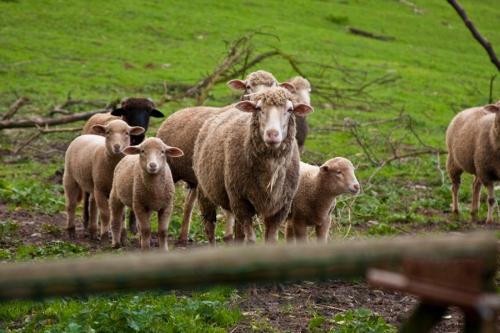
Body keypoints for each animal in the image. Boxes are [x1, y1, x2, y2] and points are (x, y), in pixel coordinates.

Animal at [80, 96, 162, 233]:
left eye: (149, 111)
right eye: (127, 110)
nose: (140, 129)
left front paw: (133, 227)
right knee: (87, 194)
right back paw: (86, 221)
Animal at [191, 87, 312, 244]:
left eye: (290, 109)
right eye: (258, 108)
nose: (272, 134)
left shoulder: (281, 207)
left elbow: (270, 240)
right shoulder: (241, 202)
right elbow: (251, 240)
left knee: (236, 233)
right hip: (206, 191)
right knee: (209, 227)